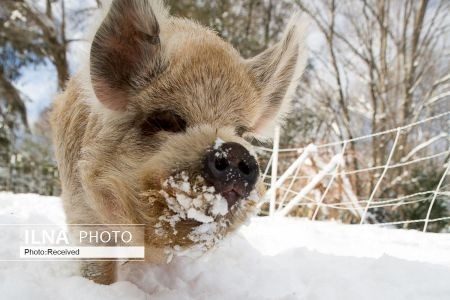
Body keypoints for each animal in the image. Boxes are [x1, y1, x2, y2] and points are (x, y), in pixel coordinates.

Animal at [51, 0, 308, 284]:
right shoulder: (82, 210)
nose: (235, 151)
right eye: (168, 120)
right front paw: (99, 286)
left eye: (241, 132)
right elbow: (97, 264)